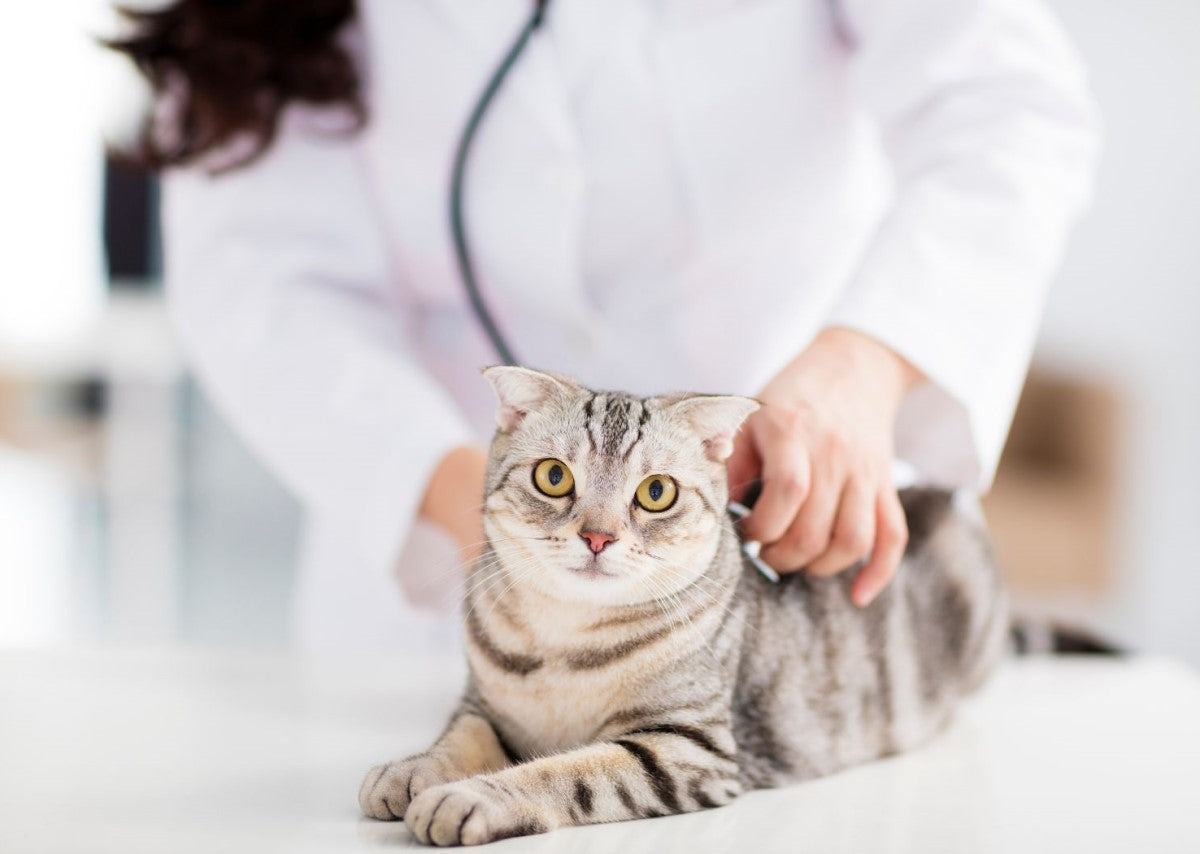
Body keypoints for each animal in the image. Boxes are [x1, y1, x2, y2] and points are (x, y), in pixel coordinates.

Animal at [357, 367, 1012, 849]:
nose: (597, 536)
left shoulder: (685, 749)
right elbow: (459, 738)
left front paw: (472, 796)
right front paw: (411, 769)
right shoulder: (484, 705)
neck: (563, 642)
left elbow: (564, 772)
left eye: (656, 493)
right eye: (553, 477)